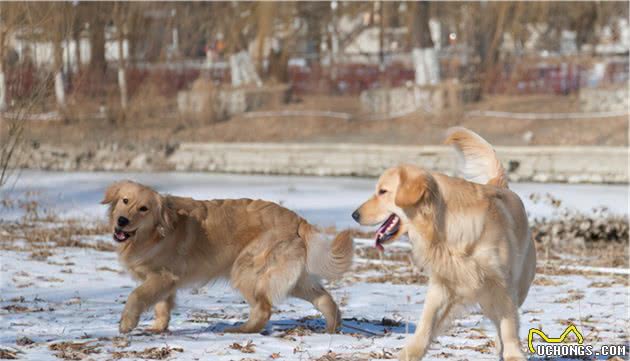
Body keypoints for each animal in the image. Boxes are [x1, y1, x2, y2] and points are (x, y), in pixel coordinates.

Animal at [101, 181, 354, 334]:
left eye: (143, 208)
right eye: (125, 201)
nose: (122, 220)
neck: (155, 233)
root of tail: (297, 219)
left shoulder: (163, 276)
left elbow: (136, 295)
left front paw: (127, 322)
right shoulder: (166, 282)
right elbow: (162, 306)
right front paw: (158, 327)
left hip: (244, 269)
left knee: (263, 309)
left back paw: (240, 330)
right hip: (296, 280)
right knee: (326, 299)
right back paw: (332, 327)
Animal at [354, 128, 536, 360]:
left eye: (383, 191)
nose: (354, 214)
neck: (444, 228)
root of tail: (497, 184)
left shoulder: (501, 284)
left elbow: (509, 325)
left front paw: (513, 353)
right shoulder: (442, 283)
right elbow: (426, 322)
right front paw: (411, 352)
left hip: (516, 287)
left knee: (503, 320)